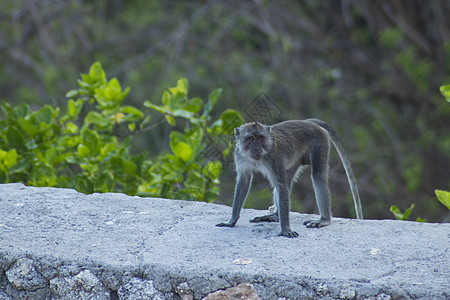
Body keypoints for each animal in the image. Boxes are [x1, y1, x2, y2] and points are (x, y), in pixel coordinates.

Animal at [215, 118, 362, 238]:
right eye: (251, 138)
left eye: (260, 137)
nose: (257, 149)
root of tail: (308, 122)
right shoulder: (240, 156)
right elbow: (244, 181)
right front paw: (232, 221)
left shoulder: (273, 159)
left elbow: (281, 186)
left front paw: (285, 229)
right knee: (287, 180)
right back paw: (275, 215)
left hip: (320, 142)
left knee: (317, 176)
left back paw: (324, 219)